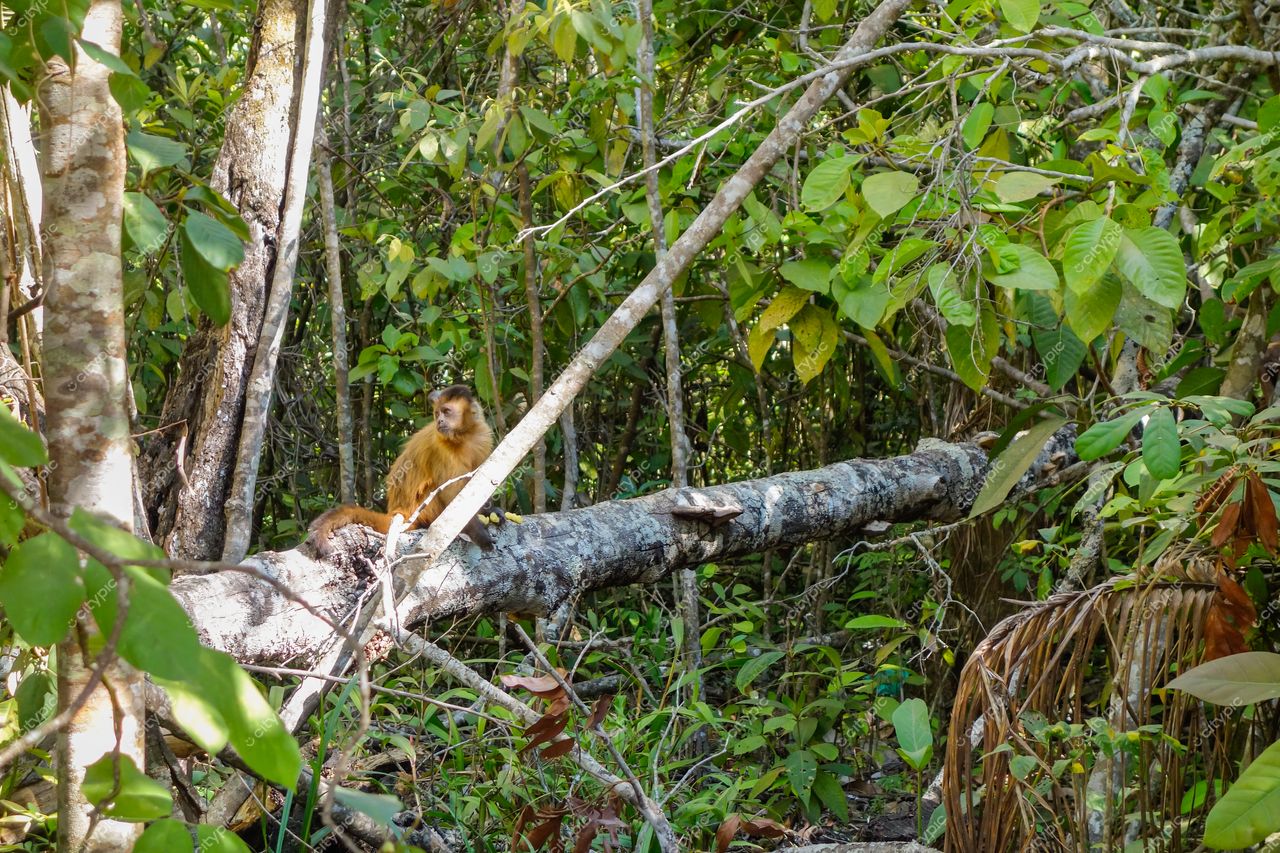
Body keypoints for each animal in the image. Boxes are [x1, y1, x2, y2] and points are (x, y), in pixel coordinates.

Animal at [309, 384, 500, 554]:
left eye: (446, 412)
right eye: (437, 413)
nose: (440, 421)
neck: (463, 436)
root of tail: (398, 511)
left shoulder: (483, 435)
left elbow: (483, 479)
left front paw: (490, 511)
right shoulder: (441, 447)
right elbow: (452, 494)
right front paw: (479, 533)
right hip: (421, 510)